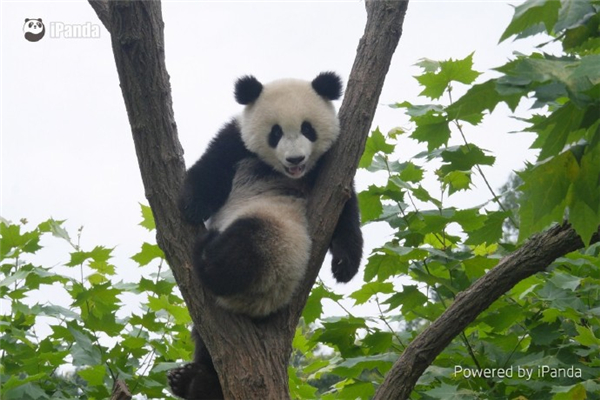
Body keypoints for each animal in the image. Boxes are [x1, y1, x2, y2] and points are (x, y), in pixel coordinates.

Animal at [170, 72, 366, 400]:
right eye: (275, 133)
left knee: (241, 251)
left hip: (278, 243)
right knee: (206, 340)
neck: (283, 172)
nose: (295, 159)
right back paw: (192, 381)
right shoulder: (235, 141)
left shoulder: (333, 167)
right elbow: (210, 168)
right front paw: (192, 204)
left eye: (307, 129)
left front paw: (344, 264)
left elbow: (345, 212)